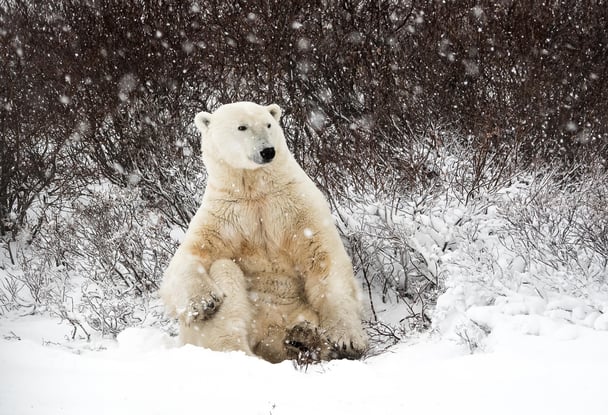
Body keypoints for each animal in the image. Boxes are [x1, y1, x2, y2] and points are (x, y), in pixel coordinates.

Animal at [160, 102, 366, 362]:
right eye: (242, 127)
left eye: (268, 124)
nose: (268, 151)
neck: (255, 191)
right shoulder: (225, 216)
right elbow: (190, 256)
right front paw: (204, 302)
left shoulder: (296, 207)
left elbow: (323, 259)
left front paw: (347, 341)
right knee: (225, 273)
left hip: (299, 311)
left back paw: (305, 338)